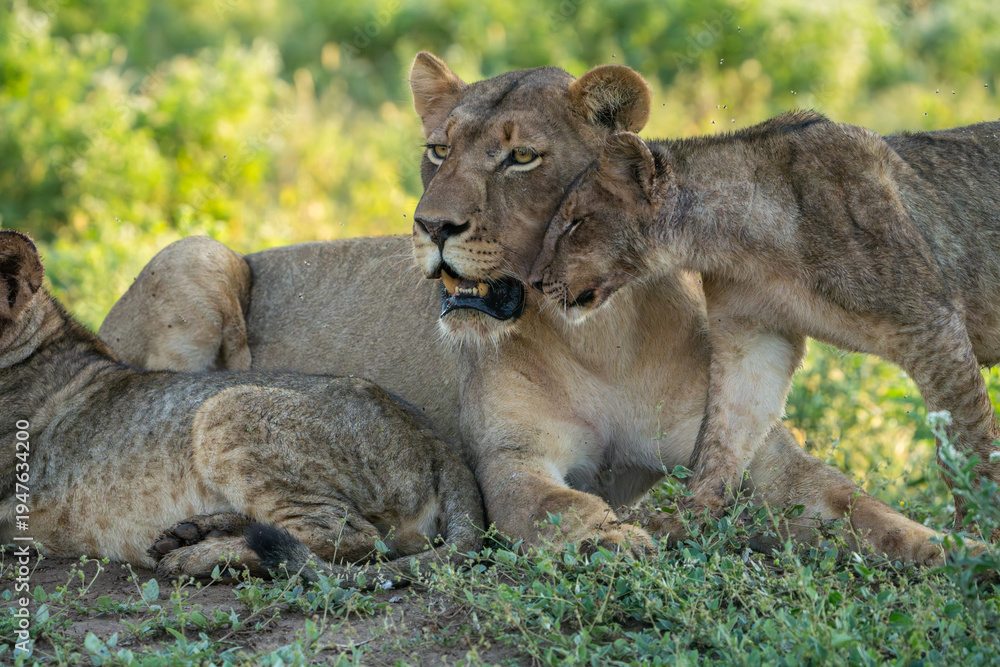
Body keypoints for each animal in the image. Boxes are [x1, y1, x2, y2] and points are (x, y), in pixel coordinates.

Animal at [97, 54, 951, 564]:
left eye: (520, 157)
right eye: (438, 149)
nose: (431, 226)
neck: (602, 335)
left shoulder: (744, 444)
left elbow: (845, 494)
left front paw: (942, 542)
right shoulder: (509, 462)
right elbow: (564, 508)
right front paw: (625, 542)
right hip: (197, 253)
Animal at [529, 116, 1000, 532]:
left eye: (575, 223)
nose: (534, 281)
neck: (746, 246)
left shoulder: (930, 323)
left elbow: (966, 441)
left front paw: (979, 532)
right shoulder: (753, 336)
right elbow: (726, 431)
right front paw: (690, 518)